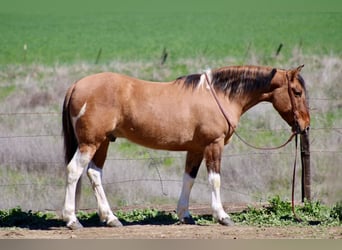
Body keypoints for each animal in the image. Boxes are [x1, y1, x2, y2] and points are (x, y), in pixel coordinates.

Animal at [61, 64, 310, 229]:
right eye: (297, 92)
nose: (305, 125)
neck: (219, 95)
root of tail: (76, 85)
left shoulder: (196, 149)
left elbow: (188, 179)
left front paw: (185, 214)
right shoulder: (213, 145)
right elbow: (215, 179)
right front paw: (222, 216)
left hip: (103, 142)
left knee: (94, 173)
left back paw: (111, 218)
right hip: (90, 143)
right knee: (74, 171)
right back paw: (72, 219)